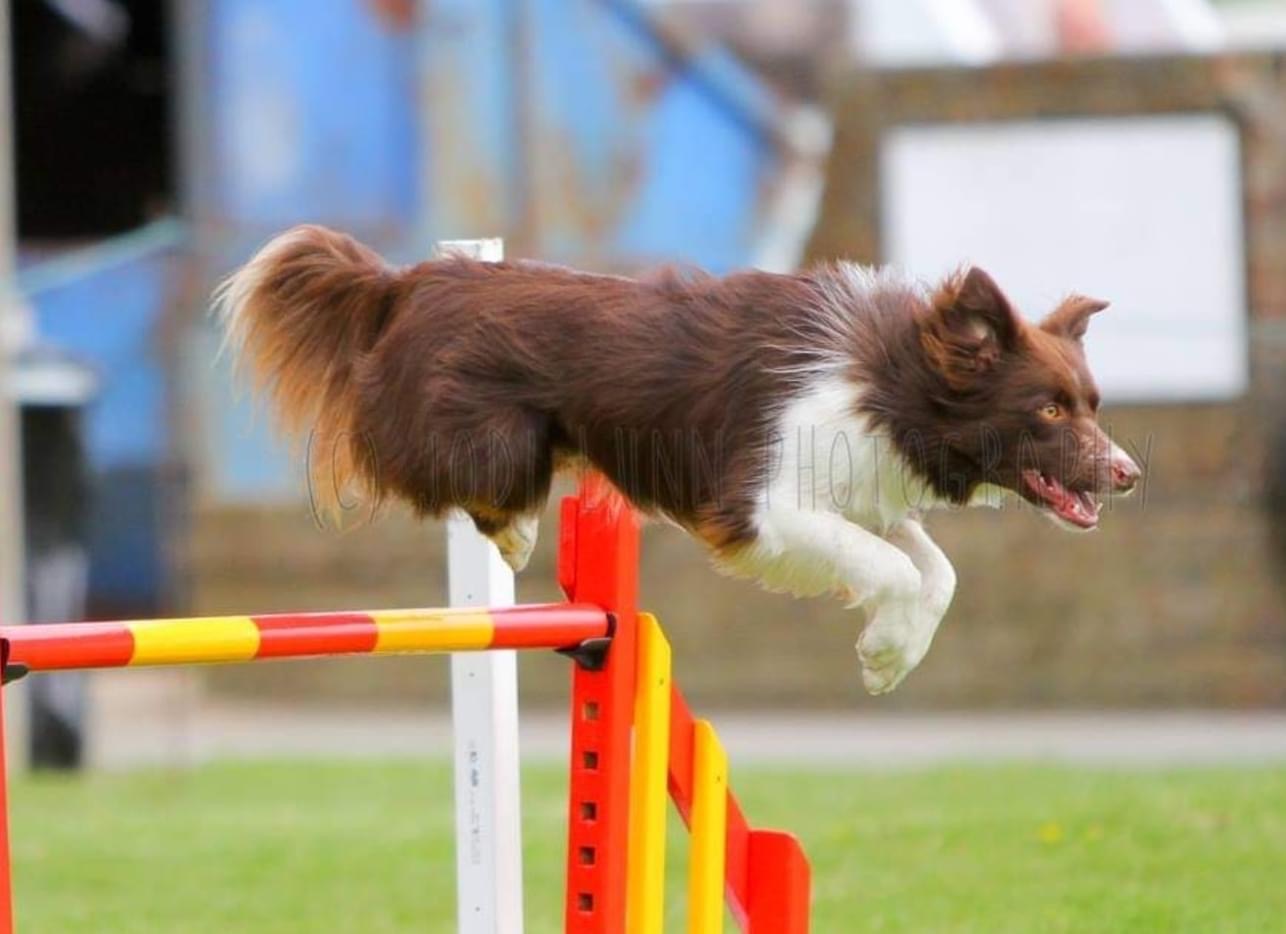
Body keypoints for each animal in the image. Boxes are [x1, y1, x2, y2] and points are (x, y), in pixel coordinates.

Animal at [216, 226, 1141, 694]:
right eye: (1049, 409)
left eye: (1091, 403)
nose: (1130, 474)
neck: (891, 375)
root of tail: (408, 282)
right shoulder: (760, 506)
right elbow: (892, 566)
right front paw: (882, 649)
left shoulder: (855, 490)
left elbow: (935, 570)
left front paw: (895, 656)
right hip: (491, 433)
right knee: (422, 473)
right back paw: (515, 533)